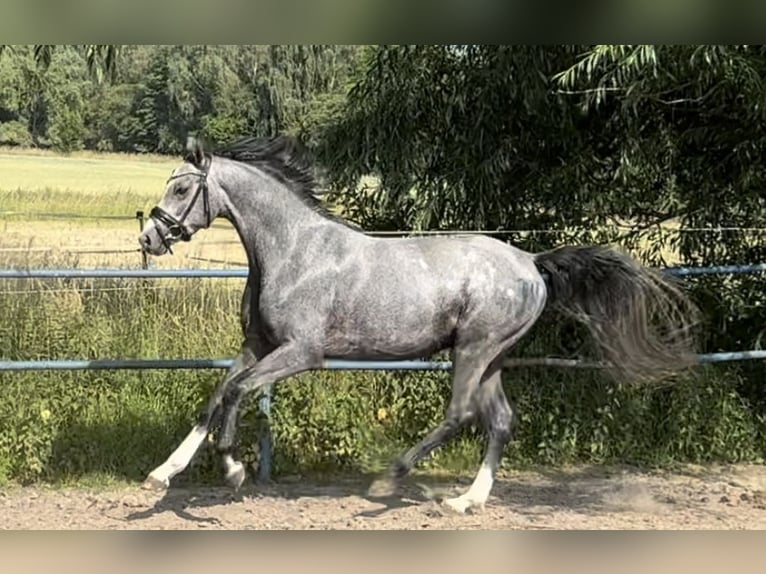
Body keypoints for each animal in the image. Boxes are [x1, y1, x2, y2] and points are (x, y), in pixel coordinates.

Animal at [140, 137, 704, 516]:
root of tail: (531, 262)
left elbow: (237, 392)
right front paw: (161, 475)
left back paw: (391, 480)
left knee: (461, 414)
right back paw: (466, 501)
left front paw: (232, 469)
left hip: (473, 349)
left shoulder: (301, 353)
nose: (149, 238)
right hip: (492, 357)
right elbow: (216, 395)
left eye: (183, 187)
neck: (293, 250)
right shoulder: (257, 345)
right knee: (500, 420)